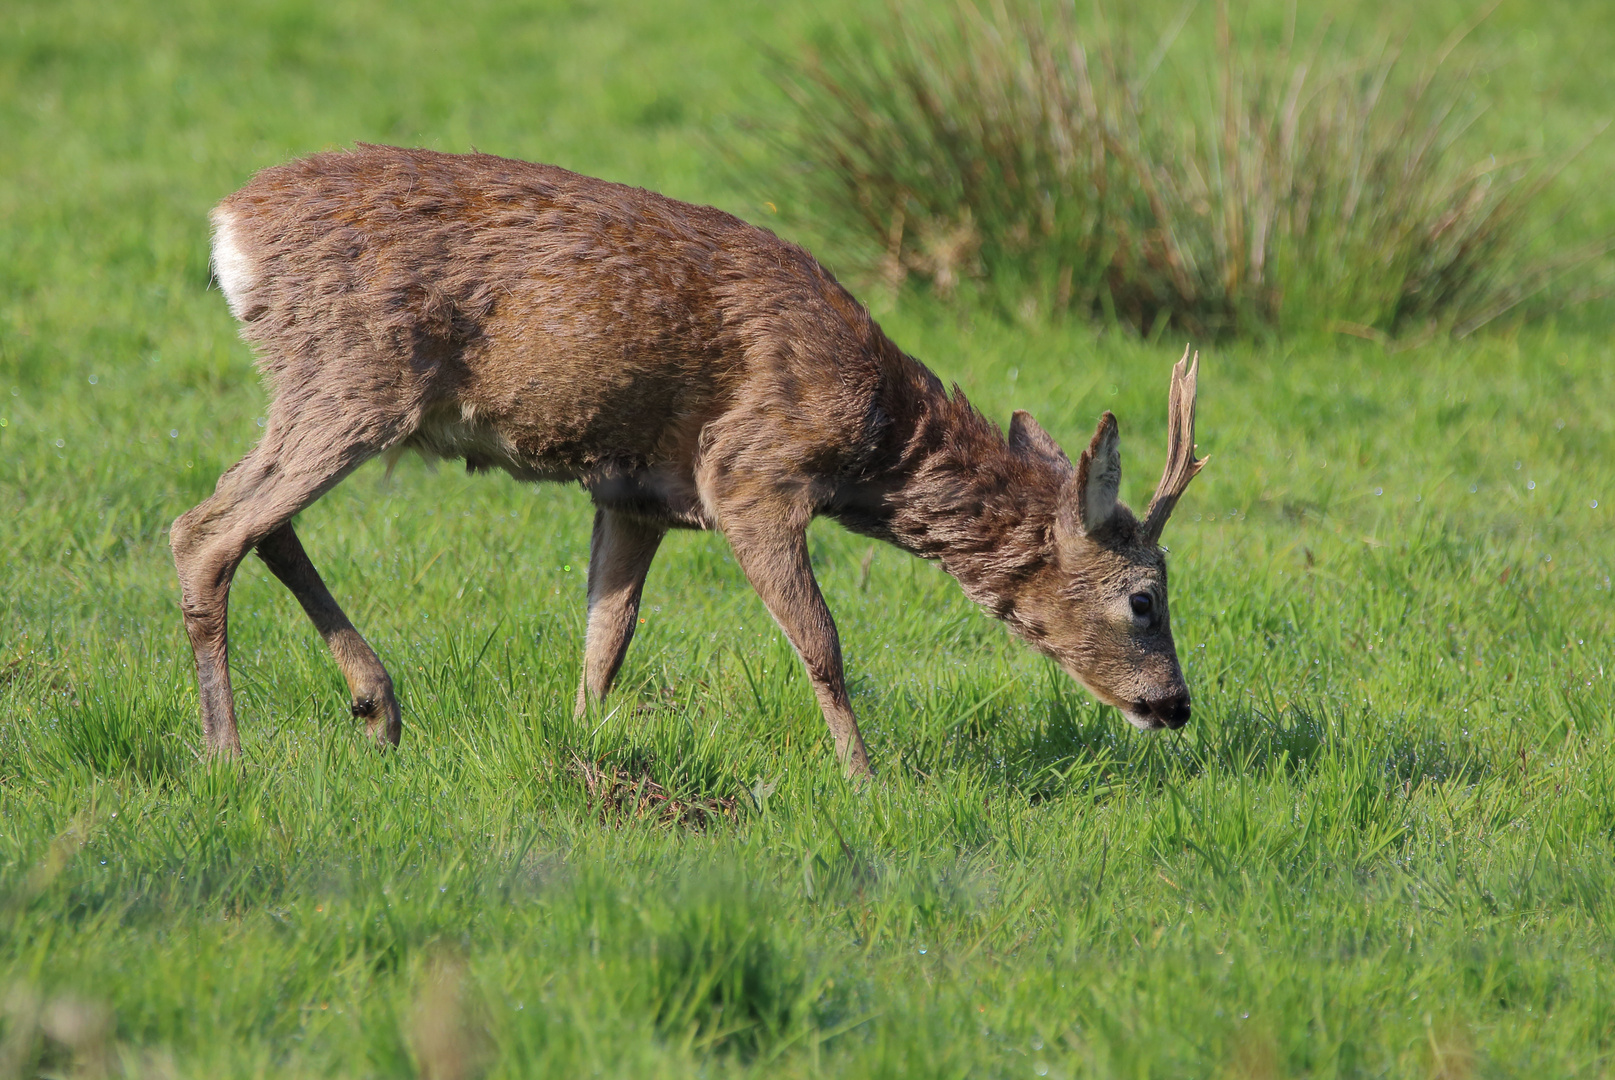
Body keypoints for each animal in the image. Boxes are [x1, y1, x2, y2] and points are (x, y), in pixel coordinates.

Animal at [176, 142, 1208, 774]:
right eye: (1143, 600)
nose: (1175, 705)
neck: (877, 437)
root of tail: (228, 229)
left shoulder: (633, 491)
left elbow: (606, 636)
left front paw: (584, 746)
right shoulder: (749, 472)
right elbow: (821, 642)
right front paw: (867, 780)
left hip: (331, 386)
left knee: (261, 521)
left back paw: (375, 707)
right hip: (357, 373)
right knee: (206, 528)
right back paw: (229, 754)